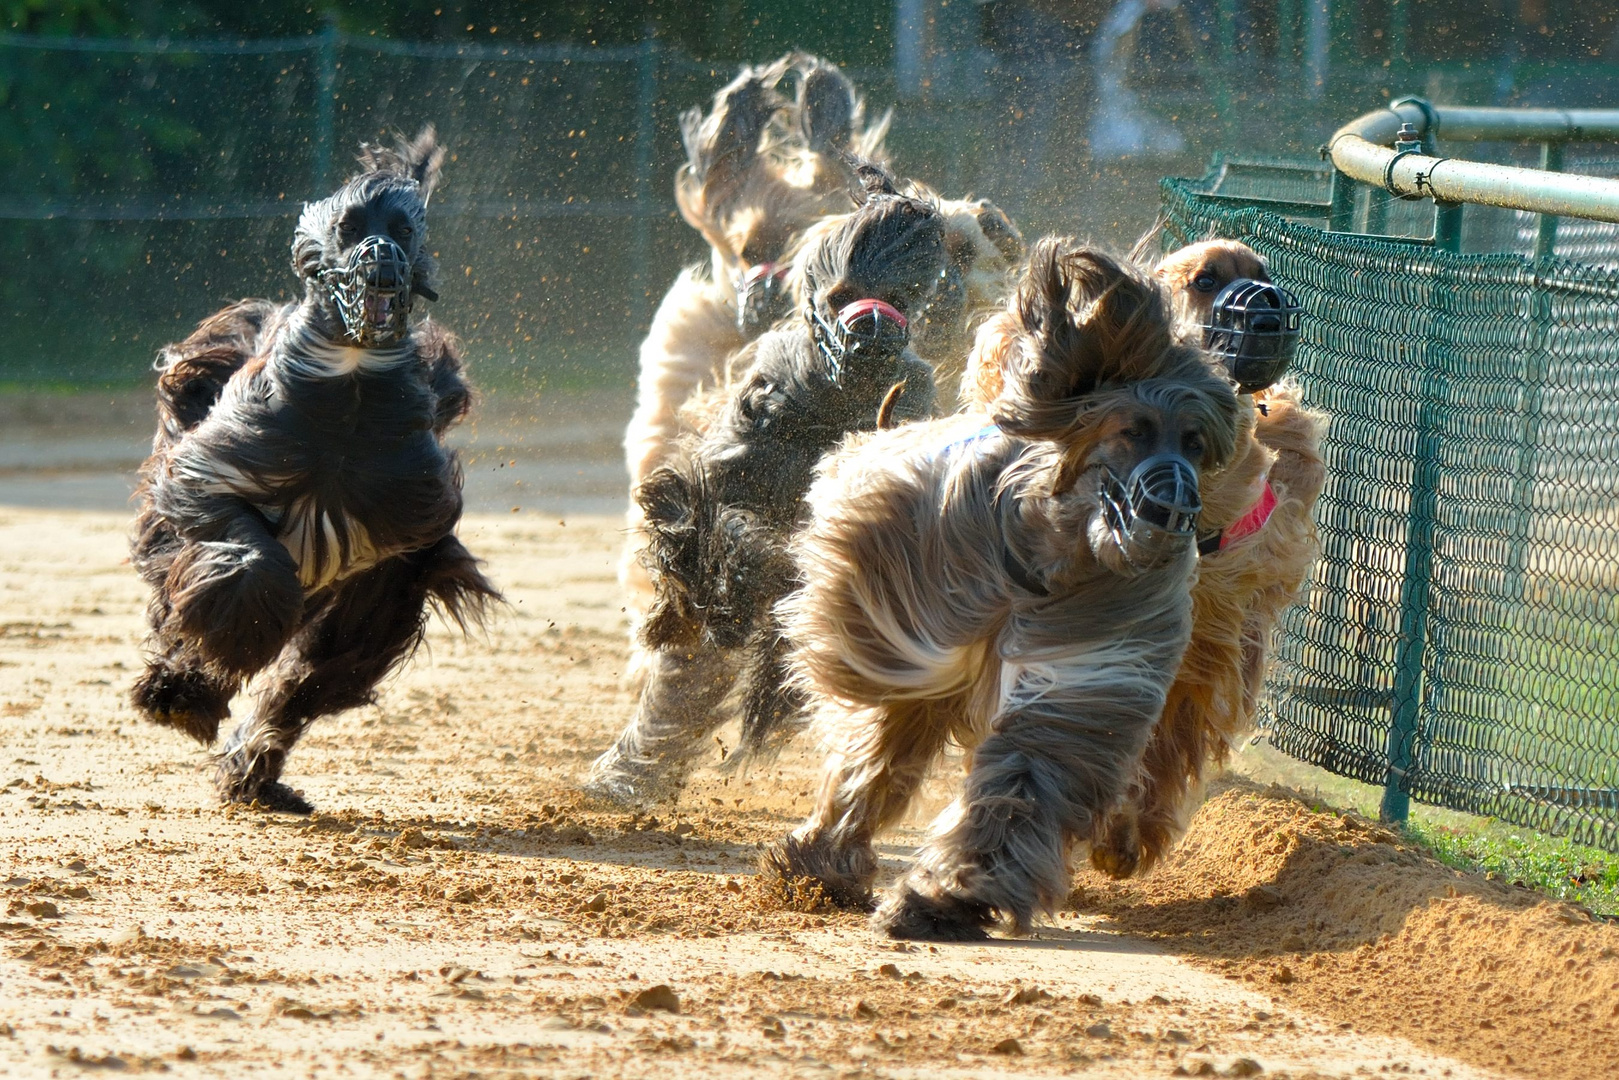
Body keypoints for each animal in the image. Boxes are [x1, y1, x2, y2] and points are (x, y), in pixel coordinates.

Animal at [131, 128, 498, 809]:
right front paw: (206, 670)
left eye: (403, 229)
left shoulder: (399, 548)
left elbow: (315, 670)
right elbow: (243, 561)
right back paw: (180, 693)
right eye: (350, 227)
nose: (382, 261)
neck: (348, 388)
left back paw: (246, 764)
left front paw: (246, 750)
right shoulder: (213, 474)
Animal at [589, 169, 951, 806]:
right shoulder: (729, 470)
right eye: (839, 294)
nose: (873, 339)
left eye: (908, 295)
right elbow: (714, 536)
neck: (830, 410)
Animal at [764, 238, 1243, 939]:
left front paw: (949, 895)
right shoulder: (921, 577)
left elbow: (1031, 764)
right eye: (1131, 429)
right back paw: (821, 860)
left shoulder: (1087, 654)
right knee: (884, 749)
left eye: (1194, 440)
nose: (1175, 505)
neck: (1061, 547)